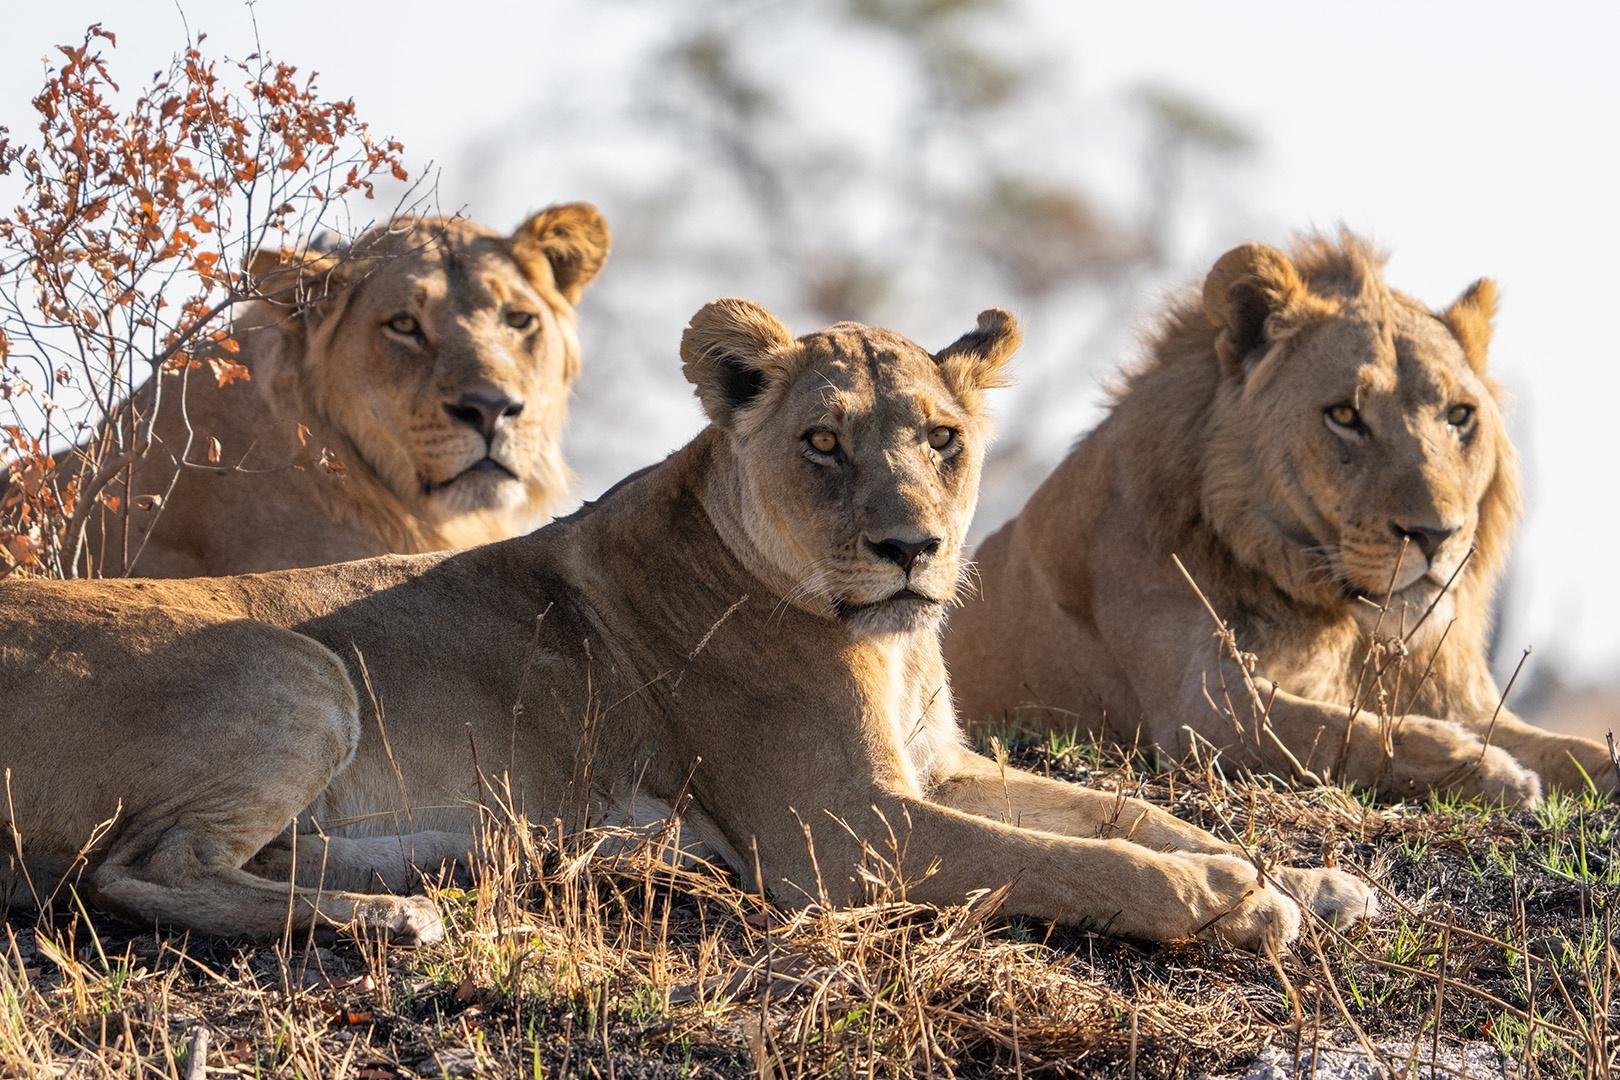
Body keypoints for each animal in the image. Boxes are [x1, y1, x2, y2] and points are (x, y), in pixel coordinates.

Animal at [0, 299, 1373, 952]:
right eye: (823, 443)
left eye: (941, 437)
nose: (912, 547)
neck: (887, 643)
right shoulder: (840, 830)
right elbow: (1066, 860)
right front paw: (1214, 895)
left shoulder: (938, 769)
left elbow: (1125, 812)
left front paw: (1296, 879)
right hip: (299, 665)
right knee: (139, 872)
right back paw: (397, 921)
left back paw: (548, 859)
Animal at [946, 229, 1613, 803]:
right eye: (1344, 416)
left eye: (1459, 416)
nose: (1436, 535)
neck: (1342, 621)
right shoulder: (1198, 710)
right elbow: (1341, 732)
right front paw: (1494, 771)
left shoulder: (1466, 702)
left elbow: (1582, 750)